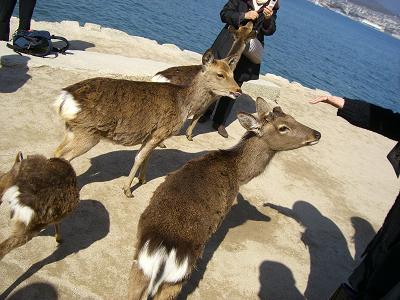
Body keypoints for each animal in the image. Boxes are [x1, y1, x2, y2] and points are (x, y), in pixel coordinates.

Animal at [52, 49, 241, 198]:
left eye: (233, 74)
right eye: (220, 74)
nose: (238, 91)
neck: (183, 104)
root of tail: (64, 98)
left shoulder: (152, 134)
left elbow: (147, 156)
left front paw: (142, 180)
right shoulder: (161, 131)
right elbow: (140, 157)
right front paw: (128, 190)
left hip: (72, 130)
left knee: (57, 151)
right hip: (88, 133)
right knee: (65, 156)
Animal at [128, 97, 322, 298]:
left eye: (292, 117)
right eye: (283, 127)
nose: (317, 134)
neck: (237, 173)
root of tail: (162, 254)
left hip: (138, 270)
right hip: (175, 281)